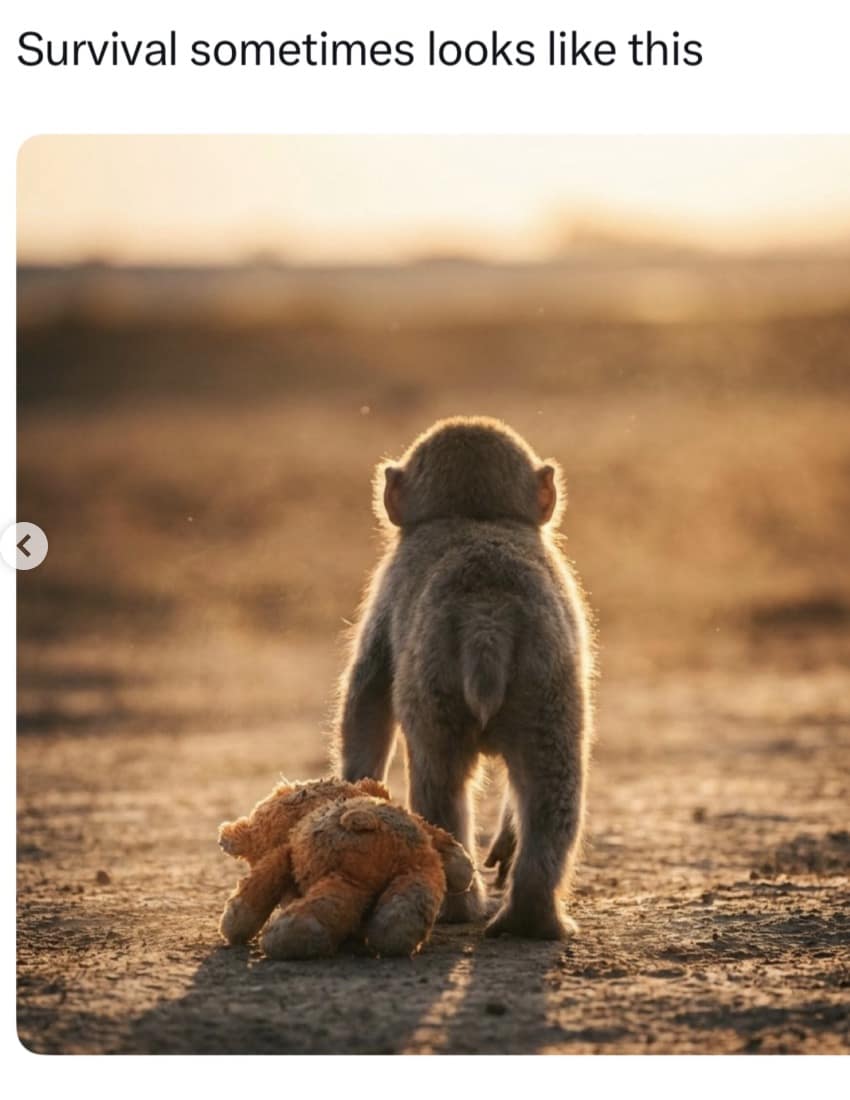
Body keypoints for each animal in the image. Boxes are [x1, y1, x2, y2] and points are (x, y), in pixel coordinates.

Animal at [334, 416, 594, 939]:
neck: (478, 517)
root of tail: (488, 615)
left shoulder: (389, 582)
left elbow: (367, 695)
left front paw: (357, 792)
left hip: (434, 690)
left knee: (441, 782)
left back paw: (459, 907)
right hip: (546, 689)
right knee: (554, 787)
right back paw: (531, 916)